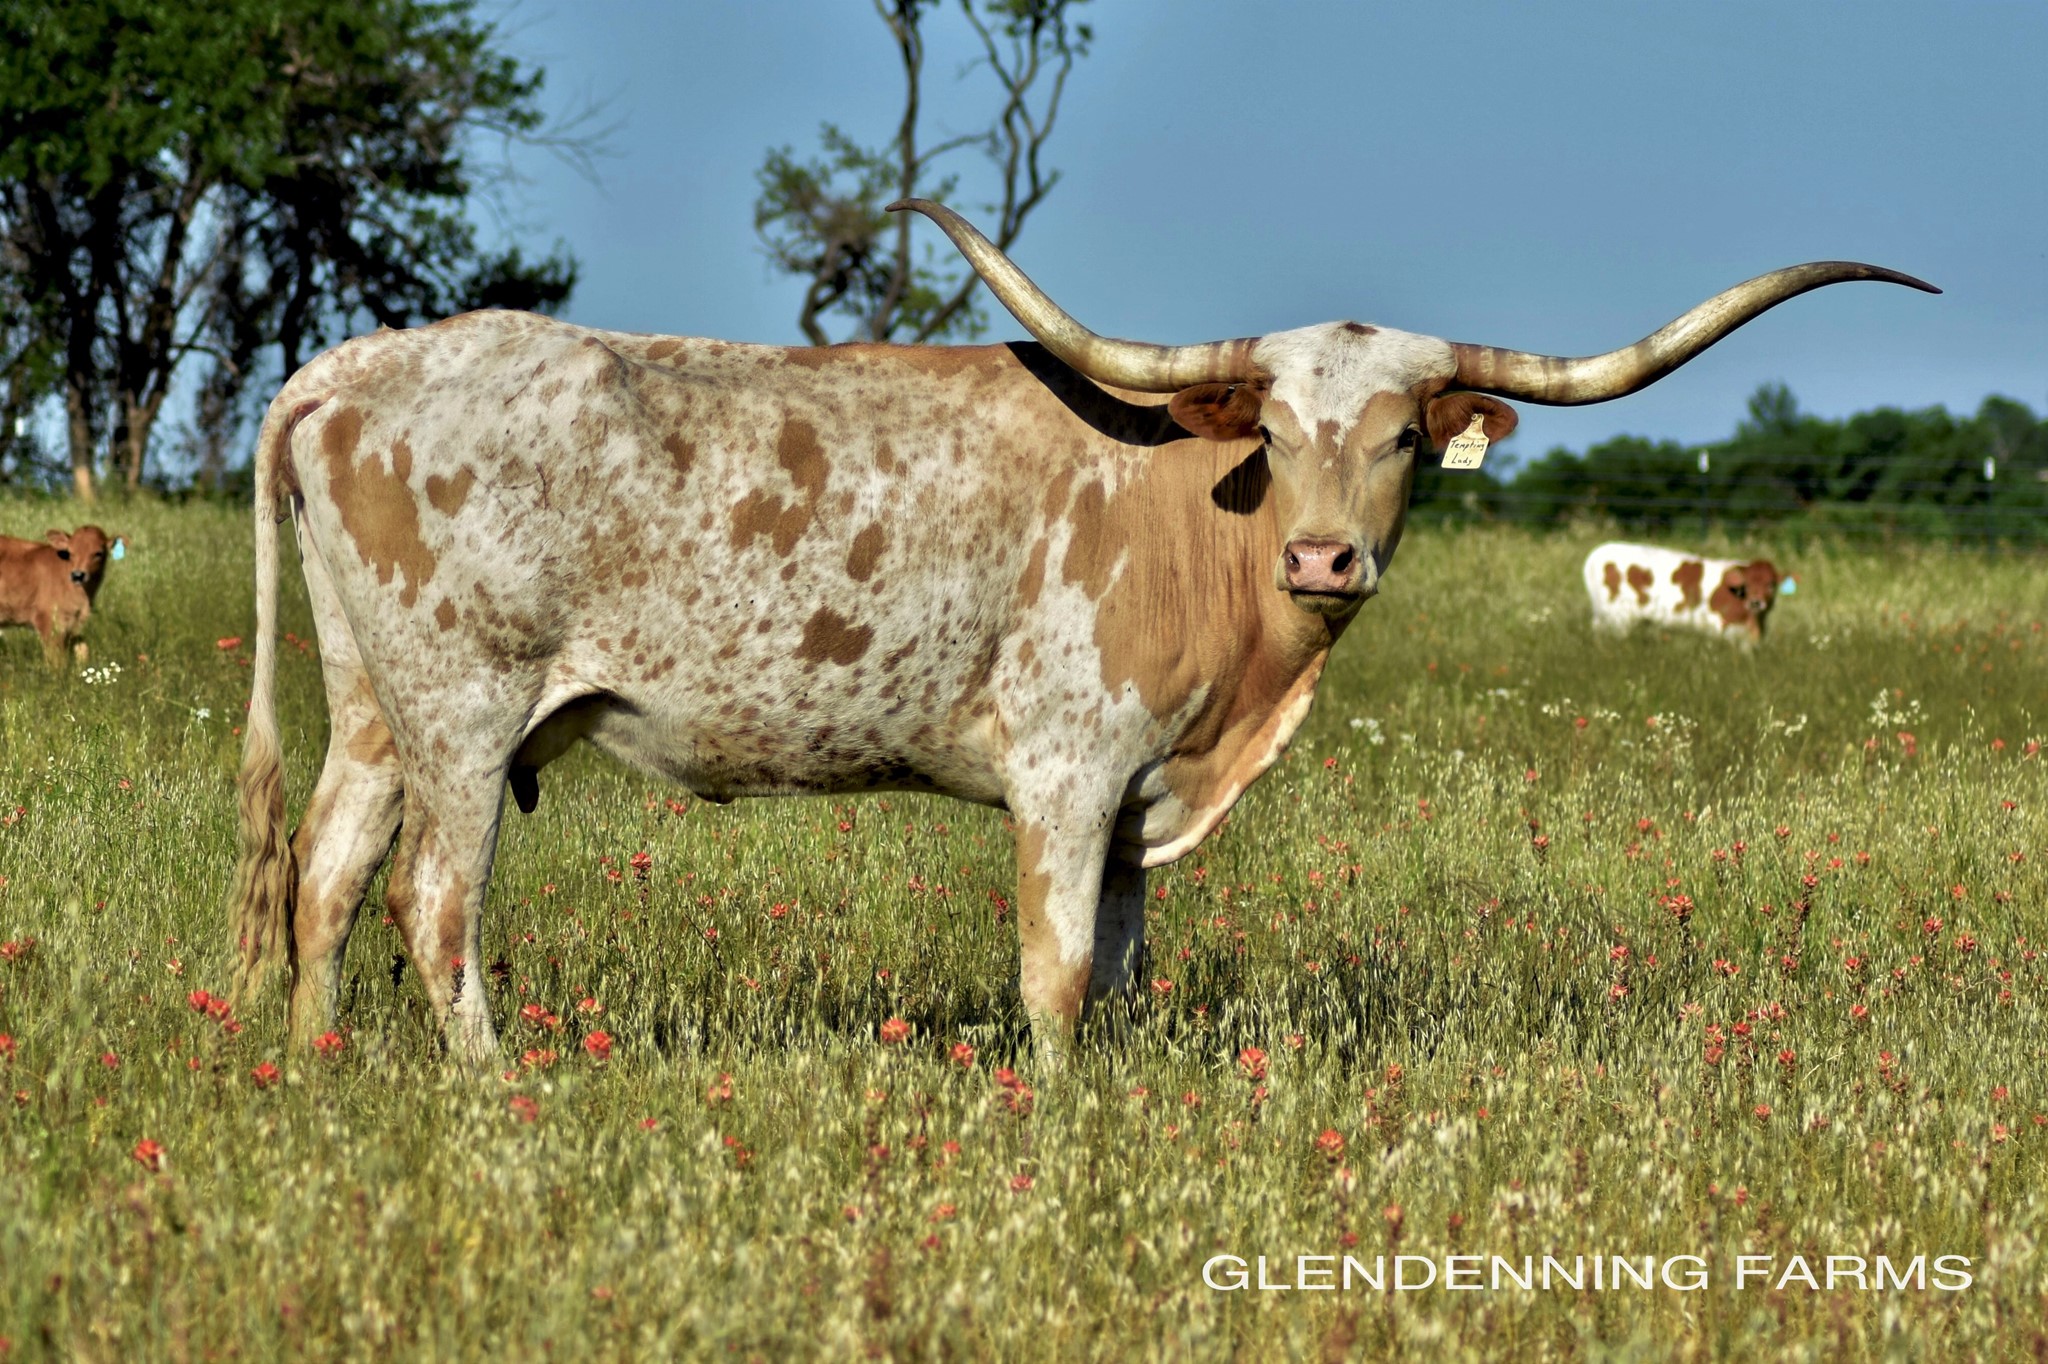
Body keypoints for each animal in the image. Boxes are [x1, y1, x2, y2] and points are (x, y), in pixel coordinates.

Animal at [0, 526, 119, 666]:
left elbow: (83, 652)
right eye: (70, 552)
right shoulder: (50, 623)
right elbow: (57, 662)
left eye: (98, 553)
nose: (78, 575)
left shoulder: (74, 625)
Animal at [1583, 542, 1782, 645]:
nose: (1756, 602)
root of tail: (1597, 553)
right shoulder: (1716, 627)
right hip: (1618, 619)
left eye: (1771, 585)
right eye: (1746, 585)